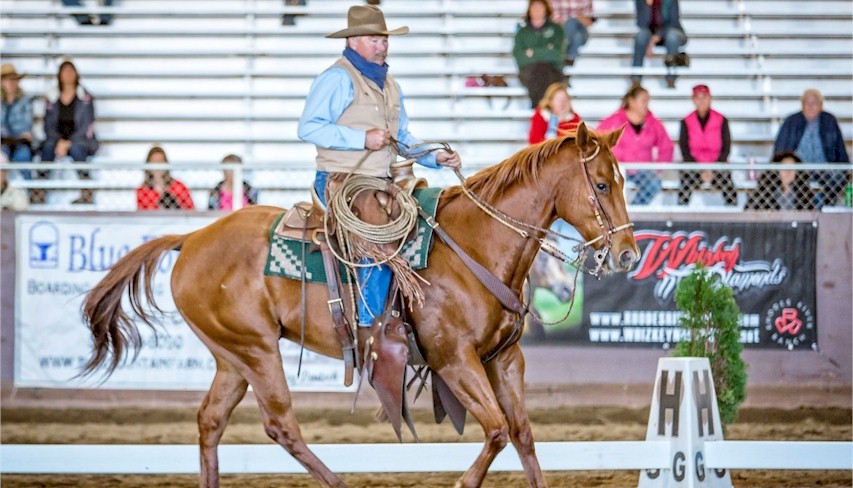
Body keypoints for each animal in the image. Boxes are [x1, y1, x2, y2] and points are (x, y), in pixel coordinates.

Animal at [81, 124, 640, 486]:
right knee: (280, 425)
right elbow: (499, 432)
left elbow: (522, 435)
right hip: (256, 350)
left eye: (622, 180)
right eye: (601, 183)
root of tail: (192, 237)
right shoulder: (453, 360)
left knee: (211, 421)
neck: (476, 246)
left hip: (232, 356)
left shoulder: (504, 359)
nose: (628, 255)